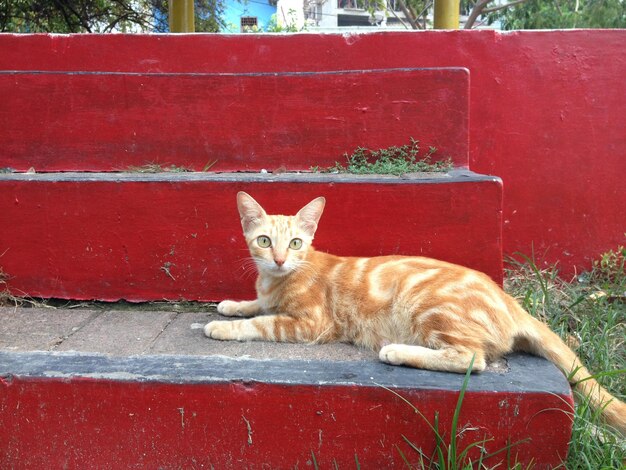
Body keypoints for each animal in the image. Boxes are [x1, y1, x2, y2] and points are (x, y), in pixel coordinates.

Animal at [205, 191, 624, 434]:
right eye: (264, 241)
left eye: (295, 243)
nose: (278, 259)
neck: (278, 279)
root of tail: (509, 301)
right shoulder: (270, 295)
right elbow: (257, 305)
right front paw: (232, 304)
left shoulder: (312, 324)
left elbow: (264, 322)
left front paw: (223, 327)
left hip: (429, 309)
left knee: (472, 358)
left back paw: (396, 351)